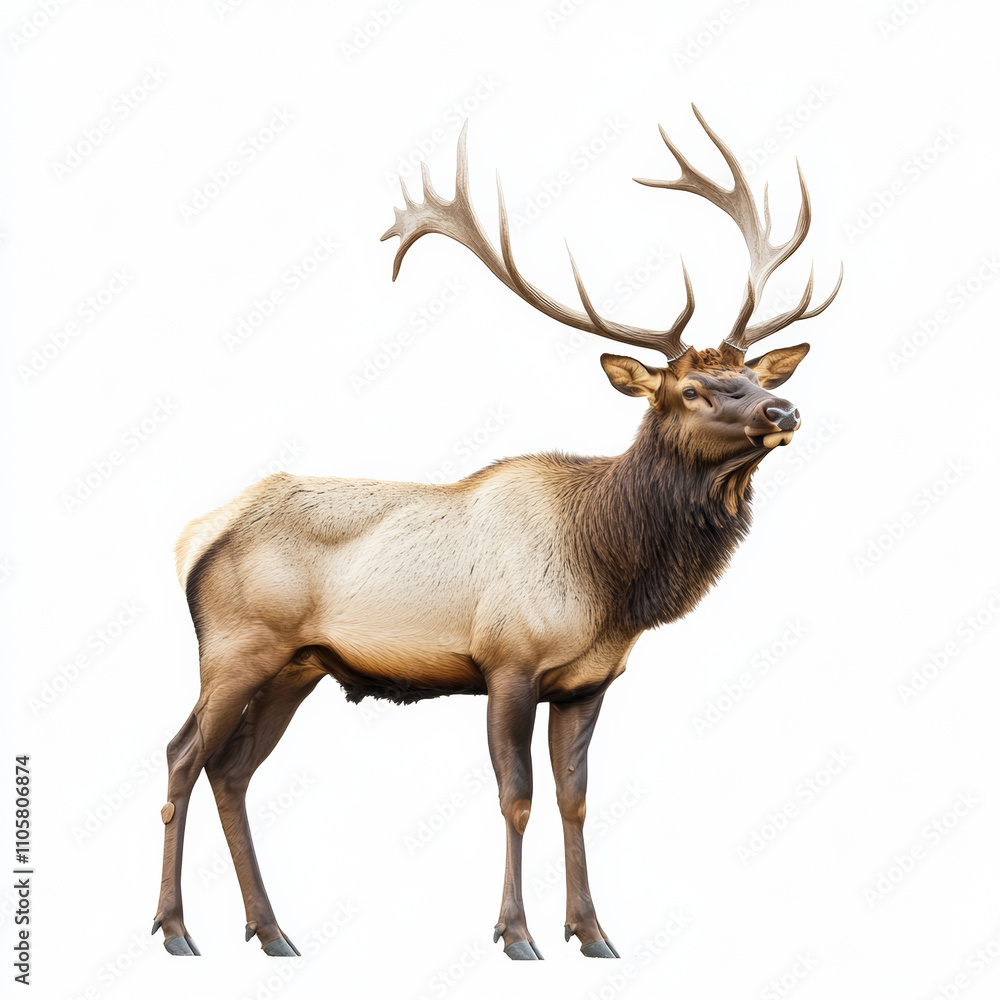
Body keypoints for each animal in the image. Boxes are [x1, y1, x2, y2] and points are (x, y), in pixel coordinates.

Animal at [152, 105, 841, 960]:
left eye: (751, 374)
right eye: (692, 389)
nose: (784, 409)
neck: (612, 576)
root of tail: (194, 538)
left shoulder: (587, 682)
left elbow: (576, 801)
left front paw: (594, 932)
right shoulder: (507, 661)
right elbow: (517, 798)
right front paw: (516, 934)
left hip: (295, 666)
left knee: (233, 771)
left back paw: (273, 930)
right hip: (236, 647)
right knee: (182, 756)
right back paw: (176, 929)